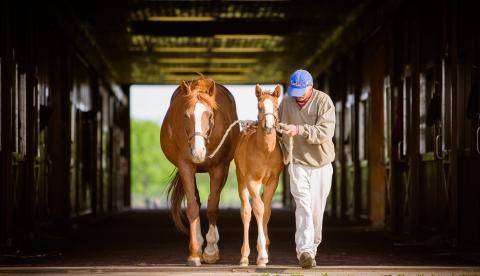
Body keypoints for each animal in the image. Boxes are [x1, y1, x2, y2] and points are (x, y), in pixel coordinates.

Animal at [234, 84, 284, 268]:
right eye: (259, 107)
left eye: (276, 107)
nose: (269, 126)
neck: (265, 152)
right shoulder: (252, 181)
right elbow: (258, 209)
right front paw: (262, 256)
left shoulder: (273, 181)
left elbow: (267, 210)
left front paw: (265, 249)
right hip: (241, 179)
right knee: (246, 212)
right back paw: (244, 256)